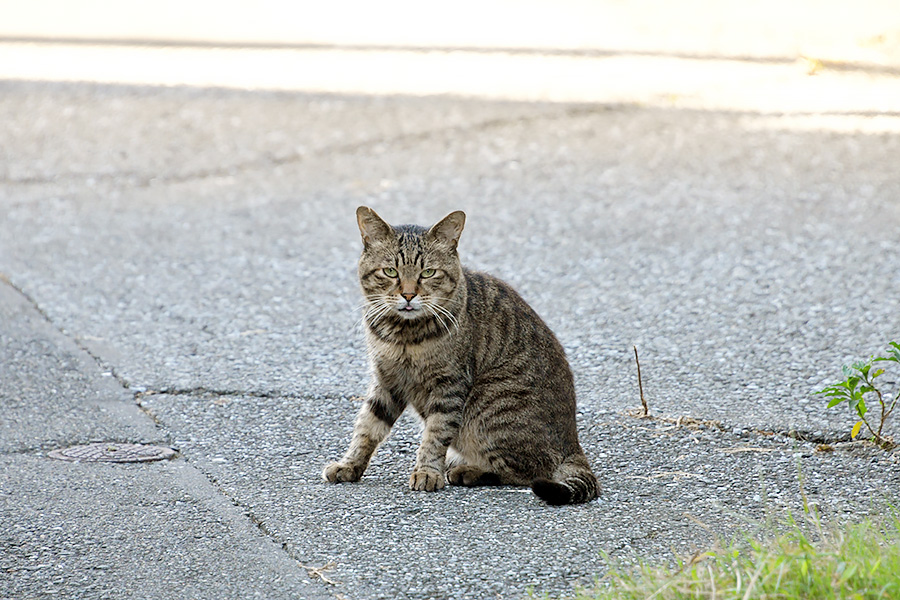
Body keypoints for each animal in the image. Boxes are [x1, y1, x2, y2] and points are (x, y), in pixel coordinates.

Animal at [324, 209, 596, 504]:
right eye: (390, 271)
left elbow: (435, 434)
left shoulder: (449, 385)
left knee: (528, 471)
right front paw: (350, 464)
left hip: (487, 404)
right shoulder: (387, 380)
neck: (404, 334)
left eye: (428, 273)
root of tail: (573, 444)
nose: (408, 294)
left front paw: (427, 471)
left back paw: (467, 470)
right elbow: (367, 426)